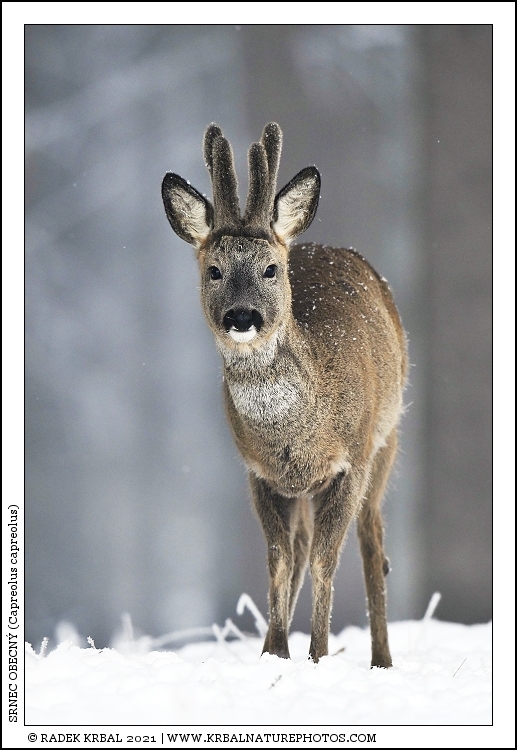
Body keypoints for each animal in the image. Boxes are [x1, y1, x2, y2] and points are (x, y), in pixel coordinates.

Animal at [161, 123, 408, 667]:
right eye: (213, 270)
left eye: (271, 269)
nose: (241, 316)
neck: (298, 434)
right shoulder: (260, 473)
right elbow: (278, 560)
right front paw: (275, 654)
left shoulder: (351, 460)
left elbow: (324, 561)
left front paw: (317, 655)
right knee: (298, 545)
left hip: (388, 436)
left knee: (372, 539)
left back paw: (382, 658)